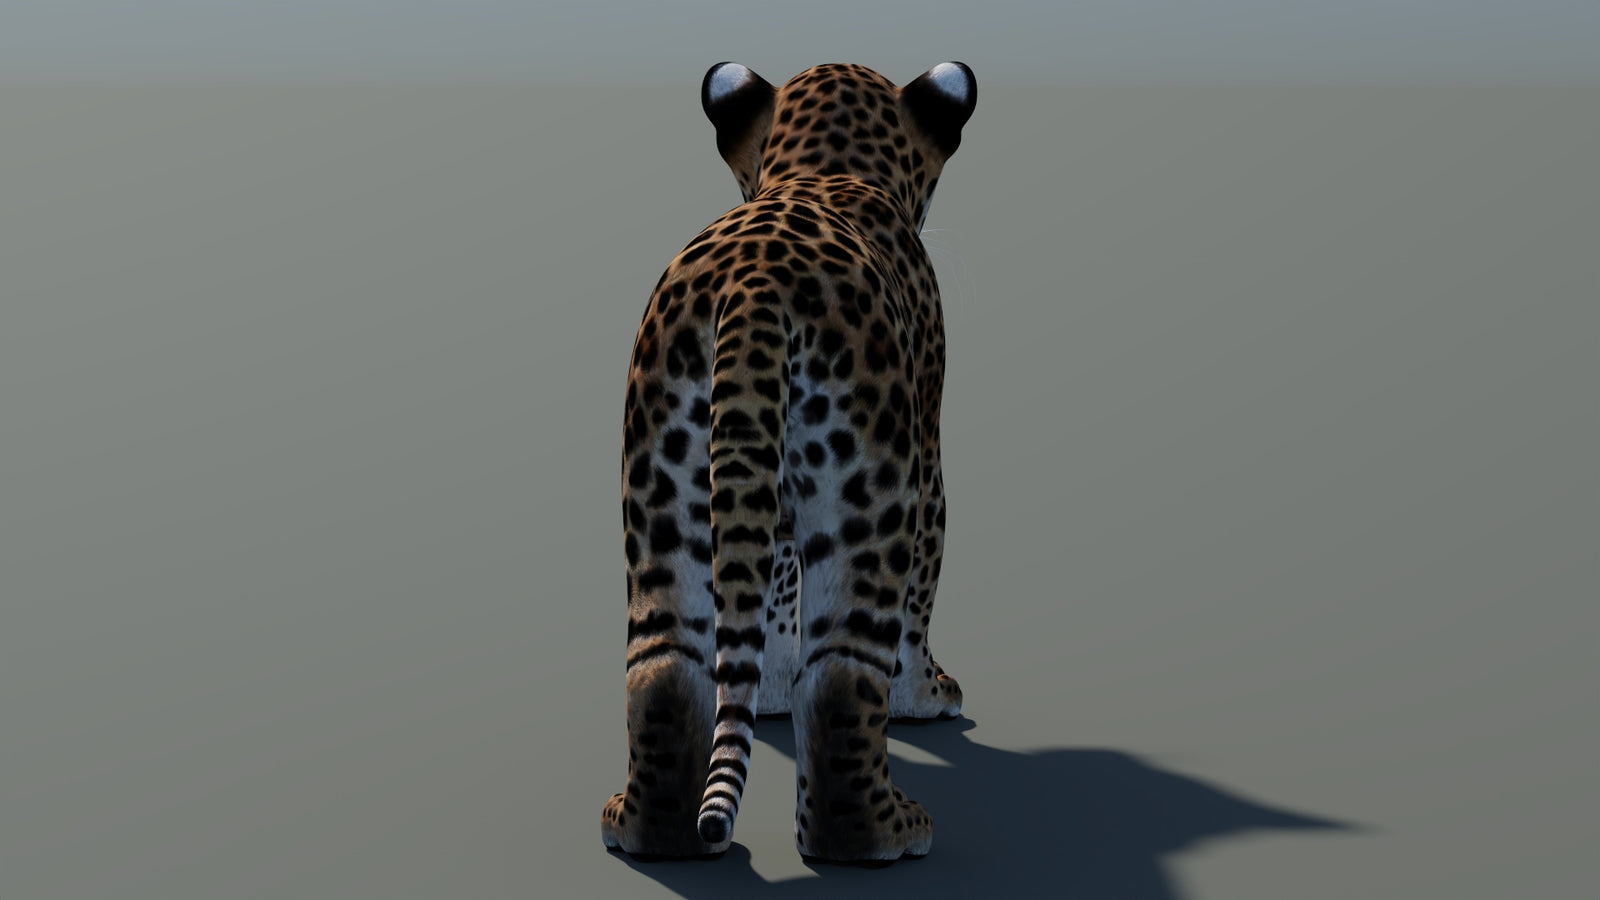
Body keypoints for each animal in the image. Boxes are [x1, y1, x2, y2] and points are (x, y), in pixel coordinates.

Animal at [602, 60, 976, 864]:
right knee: (843, 670)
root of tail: (754, 289)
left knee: (661, 661)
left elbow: (768, 591)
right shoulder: (925, 456)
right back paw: (884, 833)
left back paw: (650, 830)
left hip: (662, 488)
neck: (825, 168)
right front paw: (925, 695)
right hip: (870, 491)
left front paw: (767, 692)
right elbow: (918, 592)